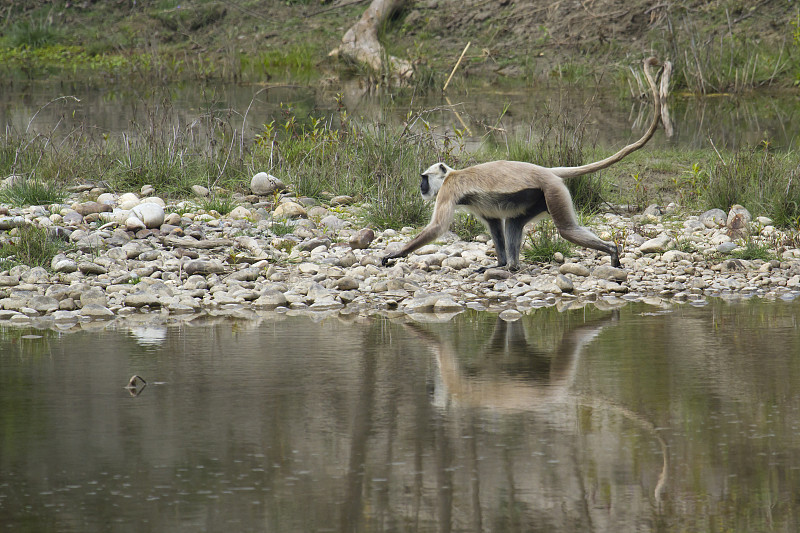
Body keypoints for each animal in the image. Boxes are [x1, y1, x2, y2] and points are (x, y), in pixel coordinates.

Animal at [382, 57, 668, 270]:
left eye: (424, 178)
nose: (421, 187)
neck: (454, 174)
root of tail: (544, 170)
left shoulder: (449, 189)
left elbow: (437, 228)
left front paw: (396, 254)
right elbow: (495, 224)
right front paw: (499, 262)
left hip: (553, 191)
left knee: (566, 230)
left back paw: (608, 250)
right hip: (538, 197)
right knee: (515, 223)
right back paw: (510, 266)